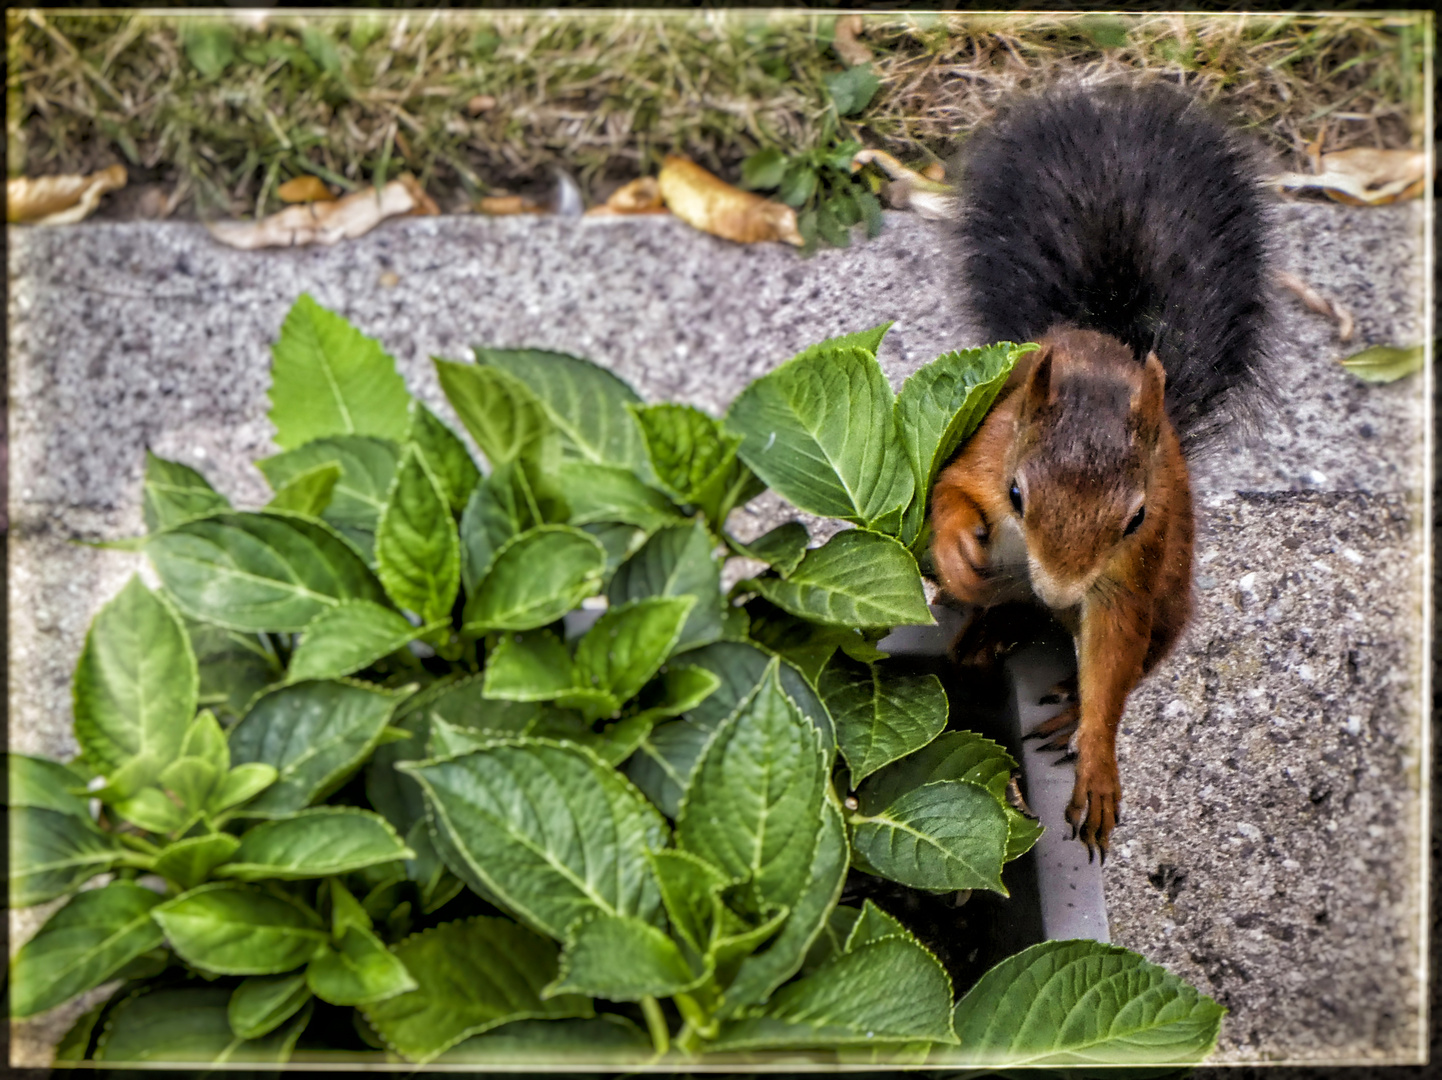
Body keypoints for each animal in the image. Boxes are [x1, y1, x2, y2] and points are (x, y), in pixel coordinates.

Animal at [928, 84, 1268, 859]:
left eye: (1134, 516)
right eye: (1016, 493)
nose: (1060, 586)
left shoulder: (1131, 568)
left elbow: (1114, 653)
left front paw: (1098, 759)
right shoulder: (986, 447)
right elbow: (948, 493)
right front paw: (958, 551)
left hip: (1171, 587)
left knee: (1146, 650)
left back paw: (1062, 701)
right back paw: (992, 622)